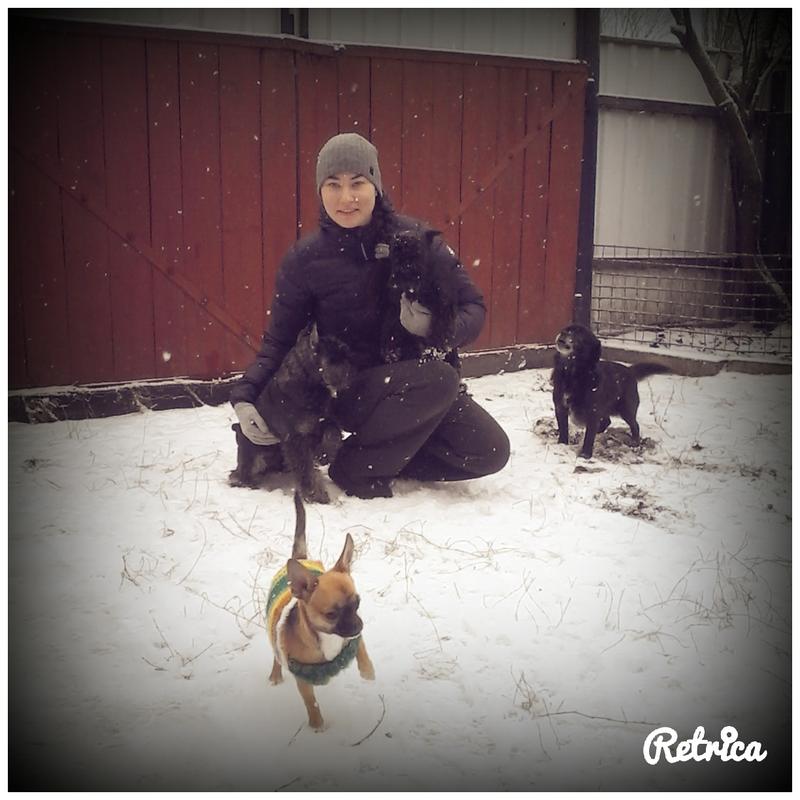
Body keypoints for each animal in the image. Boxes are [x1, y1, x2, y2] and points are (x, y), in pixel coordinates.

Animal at [228, 323, 356, 503]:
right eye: (333, 358)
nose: (352, 373)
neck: (309, 383)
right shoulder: (296, 439)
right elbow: (305, 471)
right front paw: (316, 495)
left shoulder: (322, 422)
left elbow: (333, 434)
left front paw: (325, 454)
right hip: (253, 457)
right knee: (240, 473)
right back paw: (246, 482)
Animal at [266, 491, 375, 730]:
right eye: (331, 614)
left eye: (357, 604)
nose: (358, 624)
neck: (327, 637)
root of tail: (301, 558)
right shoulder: (303, 679)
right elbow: (311, 703)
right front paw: (317, 726)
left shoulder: (355, 639)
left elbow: (362, 650)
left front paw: (368, 672)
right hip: (274, 635)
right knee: (276, 656)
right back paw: (275, 675)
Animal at [380, 228, 460, 368]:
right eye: (395, 252)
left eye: (418, 251)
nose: (405, 267)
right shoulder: (395, 306)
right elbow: (391, 325)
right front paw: (390, 351)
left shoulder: (443, 308)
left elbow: (439, 330)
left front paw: (431, 353)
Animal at [552, 323, 670, 459]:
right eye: (566, 329)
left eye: (579, 334)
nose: (563, 333)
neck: (572, 373)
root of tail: (630, 371)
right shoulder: (560, 407)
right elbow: (563, 429)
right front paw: (562, 444)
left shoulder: (593, 412)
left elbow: (589, 436)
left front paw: (585, 454)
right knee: (607, 421)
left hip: (625, 410)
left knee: (634, 425)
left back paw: (635, 442)